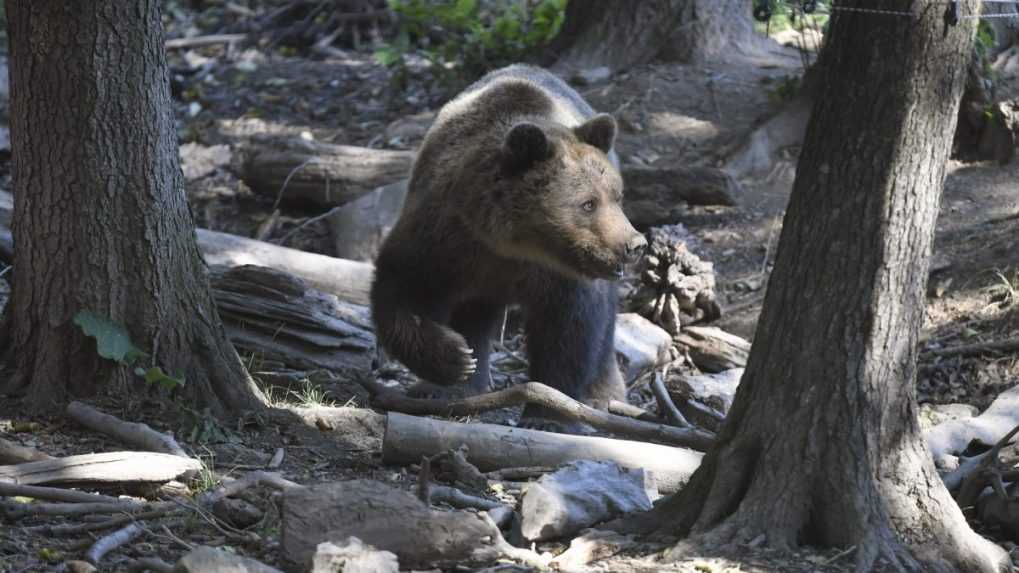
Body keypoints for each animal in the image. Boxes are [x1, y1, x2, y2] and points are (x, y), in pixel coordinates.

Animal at [370, 64, 648, 426]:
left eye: (617, 195)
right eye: (588, 203)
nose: (634, 244)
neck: (511, 243)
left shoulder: (561, 278)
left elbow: (569, 331)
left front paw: (548, 412)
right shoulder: (443, 239)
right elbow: (401, 290)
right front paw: (455, 360)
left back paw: (604, 393)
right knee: (473, 313)